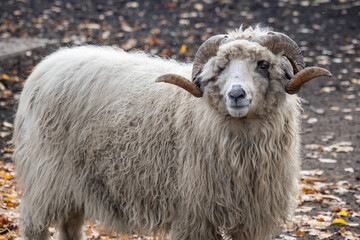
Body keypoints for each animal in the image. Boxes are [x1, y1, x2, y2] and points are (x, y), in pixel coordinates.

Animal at [12, 25, 330, 239]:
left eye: (263, 65)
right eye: (220, 67)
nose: (237, 94)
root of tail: (46, 65)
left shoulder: (250, 219)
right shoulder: (195, 216)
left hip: (74, 183)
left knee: (70, 225)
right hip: (45, 176)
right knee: (34, 225)